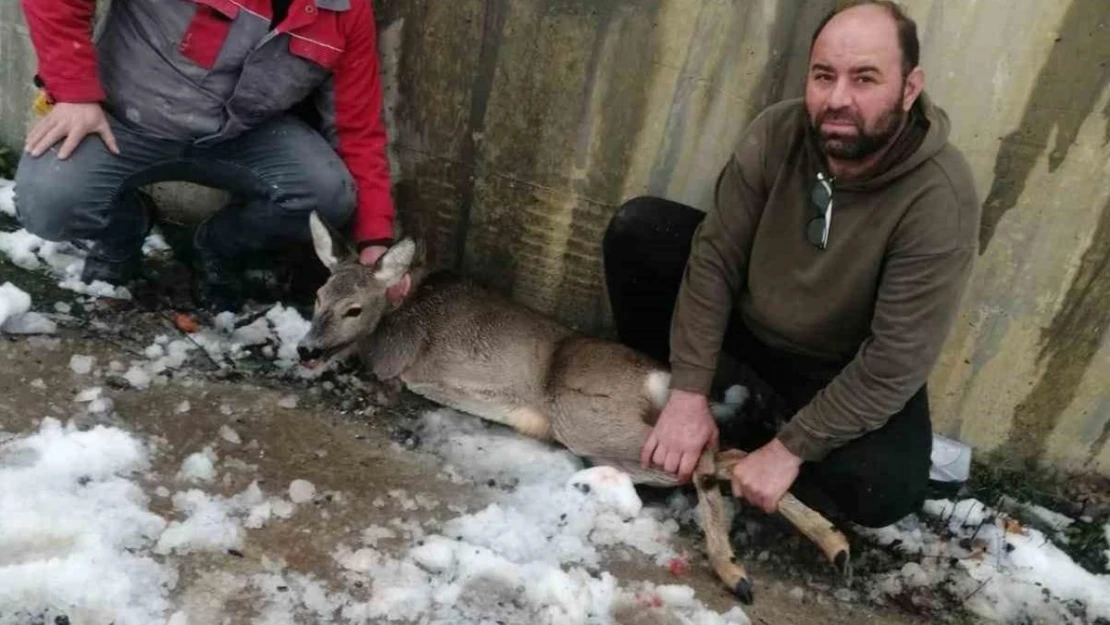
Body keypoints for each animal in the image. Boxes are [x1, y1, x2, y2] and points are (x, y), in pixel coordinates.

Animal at [295, 213, 848, 603]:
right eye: (318, 293)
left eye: (354, 308)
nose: (305, 348)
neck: (394, 318)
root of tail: (660, 379)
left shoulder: (393, 367)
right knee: (726, 454)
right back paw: (832, 545)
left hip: (589, 422)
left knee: (707, 458)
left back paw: (740, 570)